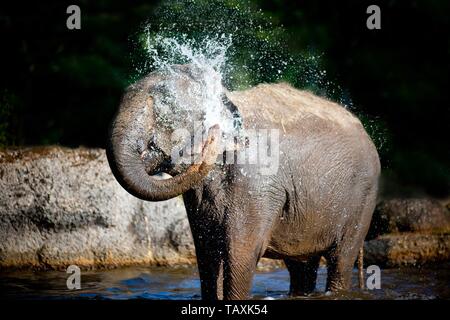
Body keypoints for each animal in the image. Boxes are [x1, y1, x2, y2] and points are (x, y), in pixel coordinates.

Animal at [106, 65, 380, 300]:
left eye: (165, 104)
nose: (212, 133)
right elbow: (207, 252)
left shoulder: (256, 181)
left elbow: (240, 252)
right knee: (301, 265)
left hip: (362, 199)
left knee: (341, 258)